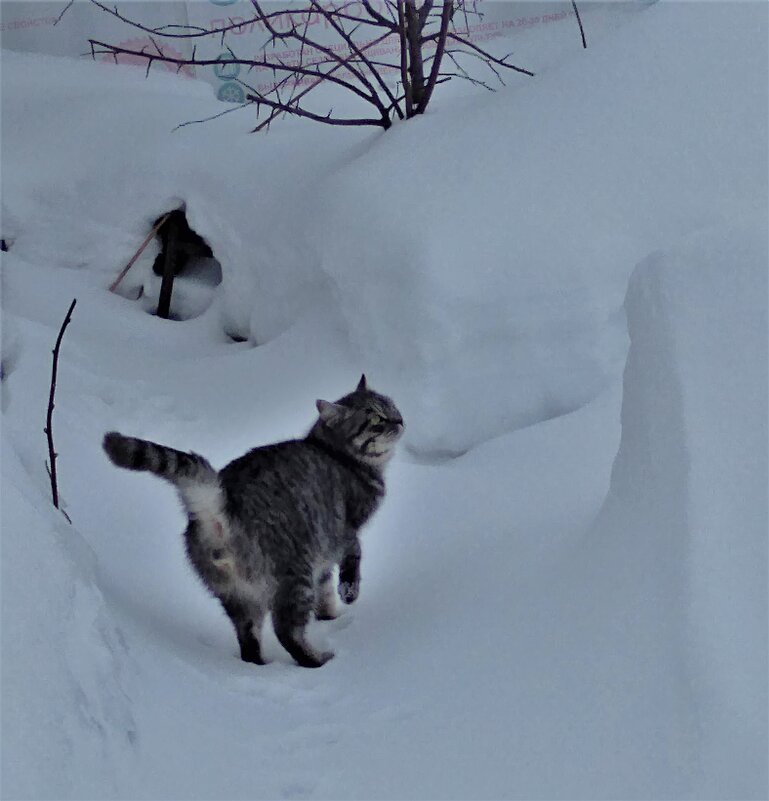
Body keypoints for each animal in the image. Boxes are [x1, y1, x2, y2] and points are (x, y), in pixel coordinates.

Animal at [103, 378, 402, 664]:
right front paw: (348, 593)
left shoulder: (324, 557)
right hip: (294, 577)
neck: (337, 454)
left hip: (237, 596)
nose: (399, 421)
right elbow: (352, 558)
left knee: (249, 640)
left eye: (392, 406)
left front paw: (330, 616)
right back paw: (319, 659)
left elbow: (326, 589)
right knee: (287, 631)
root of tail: (219, 504)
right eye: (376, 419)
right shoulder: (345, 531)